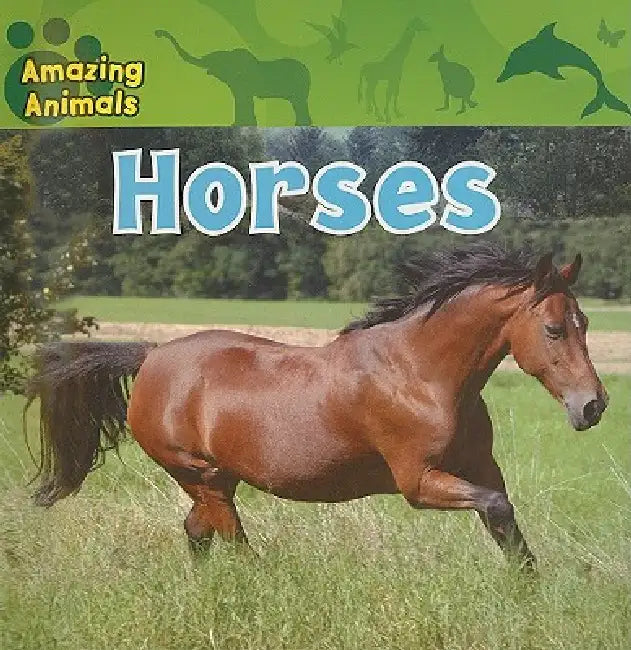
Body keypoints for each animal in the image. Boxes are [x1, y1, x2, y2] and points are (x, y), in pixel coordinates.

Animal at [25, 243, 608, 570]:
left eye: (584, 322)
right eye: (554, 329)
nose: (593, 407)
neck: (421, 375)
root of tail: (150, 356)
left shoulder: (481, 468)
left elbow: (505, 522)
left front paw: (530, 593)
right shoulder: (419, 483)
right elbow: (496, 509)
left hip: (216, 480)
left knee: (198, 533)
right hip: (199, 474)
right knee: (232, 543)